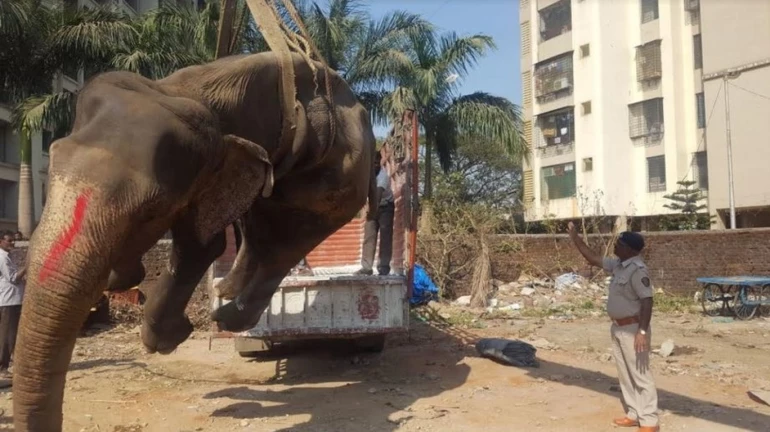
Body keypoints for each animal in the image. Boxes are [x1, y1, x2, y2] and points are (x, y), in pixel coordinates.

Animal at [13, 51, 380, 432]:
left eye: (152, 210)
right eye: (52, 163)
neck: (174, 89)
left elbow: (202, 245)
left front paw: (167, 337)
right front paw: (123, 279)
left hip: (334, 180)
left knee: (284, 239)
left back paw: (227, 316)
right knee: (259, 225)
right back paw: (227, 290)